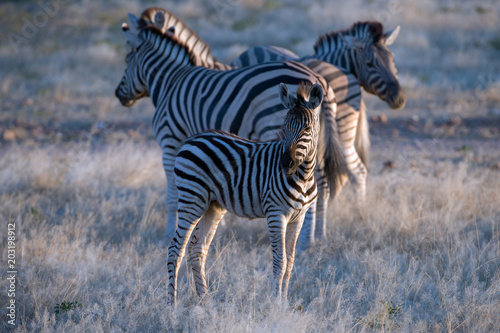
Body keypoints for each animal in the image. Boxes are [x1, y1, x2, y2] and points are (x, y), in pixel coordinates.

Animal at [114, 14, 346, 249]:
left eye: (127, 59)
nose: (118, 94)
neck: (171, 80)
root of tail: (318, 78)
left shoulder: (170, 140)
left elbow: (171, 195)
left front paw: (167, 235)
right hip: (318, 139)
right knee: (323, 182)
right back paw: (318, 236)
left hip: (277, 129)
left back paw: (307, 239)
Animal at [170, 81, 322, 304]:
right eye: (284, 127)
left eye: (307, 128)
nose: (286, 163)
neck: (303, 175)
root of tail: (192, 139)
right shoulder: (276, 214)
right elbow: (280, 261)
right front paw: (276, 304)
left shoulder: (299, 217)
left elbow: (291, 261)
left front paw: (284, 301)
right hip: (192, 199)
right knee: (175, 249)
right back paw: (171, 304)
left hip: (213, 206)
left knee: (197, 249)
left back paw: (205, 301)